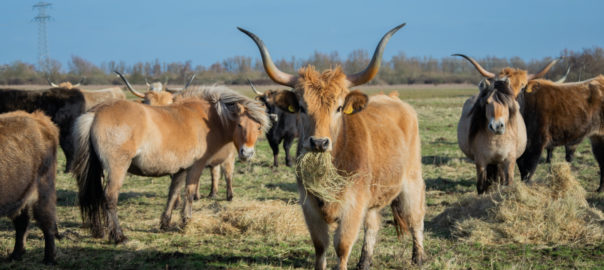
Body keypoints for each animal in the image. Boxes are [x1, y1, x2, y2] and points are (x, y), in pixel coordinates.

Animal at [0, 109, 60, 264]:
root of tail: (38, 117)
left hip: (44, 190)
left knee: (47, 222)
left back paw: (49, 259)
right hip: (21, 195)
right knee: (22, 223)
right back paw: (16, 255)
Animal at [72, 86, 268, 243]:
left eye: (258, 127)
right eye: (240, 125)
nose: (246, 153)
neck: (207, 119)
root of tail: (96, 112)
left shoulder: (181, 169)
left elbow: (173, 194)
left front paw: (165, 223)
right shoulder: (195, 167)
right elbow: (189, 193)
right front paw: (186, 221)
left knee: (97, 196)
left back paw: (100, 231)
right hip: (117, 169)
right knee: (110, 197)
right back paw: (118, 236)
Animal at [239, 21, 424, 268]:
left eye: (338, 107)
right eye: (302, 107)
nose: (319, 142)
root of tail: (394, 98)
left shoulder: (353, 206)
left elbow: (342, 246)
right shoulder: (310, 207)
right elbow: (321, 245)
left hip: (412, 180)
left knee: (415, 217)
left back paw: (418, 257)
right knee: (373, 225)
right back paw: (365, 262)